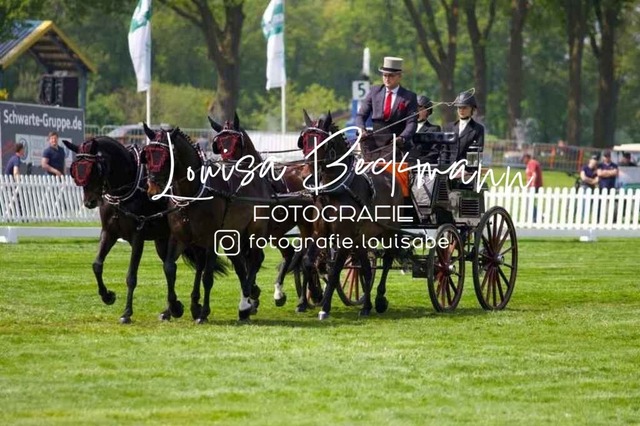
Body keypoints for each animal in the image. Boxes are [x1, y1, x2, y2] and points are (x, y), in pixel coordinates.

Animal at [63, 136, 225, 323]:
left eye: (94, 168)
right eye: (74, 170)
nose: (90, 202)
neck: (125, 190)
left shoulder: (137, 237)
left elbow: (131, 276)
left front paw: (126, 313)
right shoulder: (109, 233)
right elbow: (97, 265)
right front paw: (107, 296)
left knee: (199, 263)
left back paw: (194, 307)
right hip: (164, 240)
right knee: (172, 266)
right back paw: (171, 309)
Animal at [142, 122, 272, 322]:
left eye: (167, 156)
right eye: (147, 155)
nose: (153, 191)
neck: (191, 194)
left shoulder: (212, 239)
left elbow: (207, 276)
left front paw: (203, 312)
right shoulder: (180, 237)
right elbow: (170, 267)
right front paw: (175, 307)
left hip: (254, 230)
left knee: (255, 260)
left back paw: (246, 299)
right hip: (232, 235)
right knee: (240, 264)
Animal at [207, 114, 320, 312]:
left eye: (236, 143)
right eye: (218, 145)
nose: (227, 166)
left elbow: (254, 260)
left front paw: (251, 295)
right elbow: (244, 263)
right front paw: (252, 296)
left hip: (306, 225)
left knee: (305, 257)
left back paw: (307, 297)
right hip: (277, 233)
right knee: (291, 254)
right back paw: (283, 293)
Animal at [299, 111, 404, 320]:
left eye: (323, 142)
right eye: (304, 141)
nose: (307, 173)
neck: (335, 190)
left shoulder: (344, 237)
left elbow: (334, 272)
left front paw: (324, 308)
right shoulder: (320, 233)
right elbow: (308, 262)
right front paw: (314, 295)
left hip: (389, 232)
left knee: (388, 259)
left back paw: (379, 299)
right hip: (362, 239)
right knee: (366, 269)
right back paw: (366, 306)